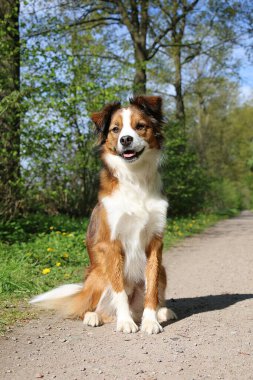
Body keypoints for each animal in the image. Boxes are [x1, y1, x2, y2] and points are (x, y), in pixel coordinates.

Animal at [30, 95, 176, 336]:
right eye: (116, 129)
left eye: (140, 126)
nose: (126, 139)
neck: (134, 179)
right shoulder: (112, 244)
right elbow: (119, 291)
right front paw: (125, 322)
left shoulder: (155, 243)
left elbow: (152, 289)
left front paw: (150, 321)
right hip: (98, 275)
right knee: (94, 309)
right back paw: (94, 317)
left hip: (163, 270)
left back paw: (162, 312)